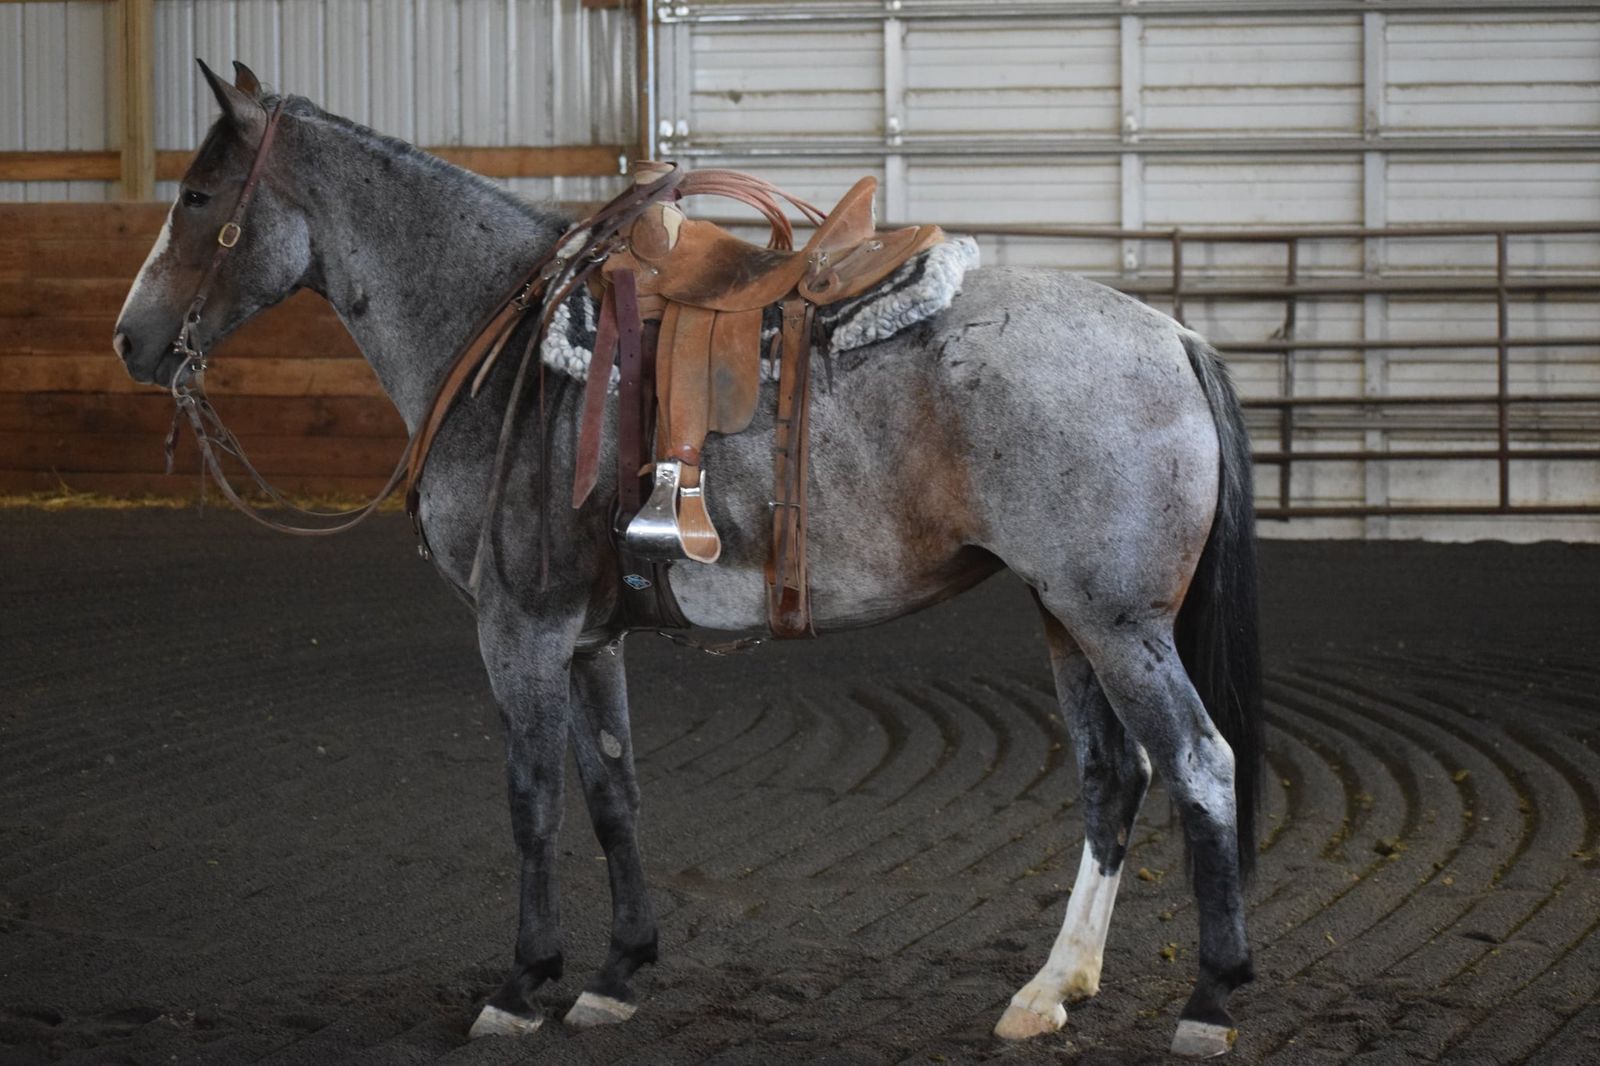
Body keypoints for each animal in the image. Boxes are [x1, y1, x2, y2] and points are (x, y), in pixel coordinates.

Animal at [112, 60, 1264, 1059]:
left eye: (200, 193)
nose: (129, 338)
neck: (500, 339)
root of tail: (1171, 336)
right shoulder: (586, 639)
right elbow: (611, 790)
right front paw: (618, 973)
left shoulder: (518, 629)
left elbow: (532, 798)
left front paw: (520, 985)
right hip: (1065, 617)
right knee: (1112, 777)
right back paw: (1051, 988)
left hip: (1117, 624)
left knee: (1199, 765)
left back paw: (1210, 998)